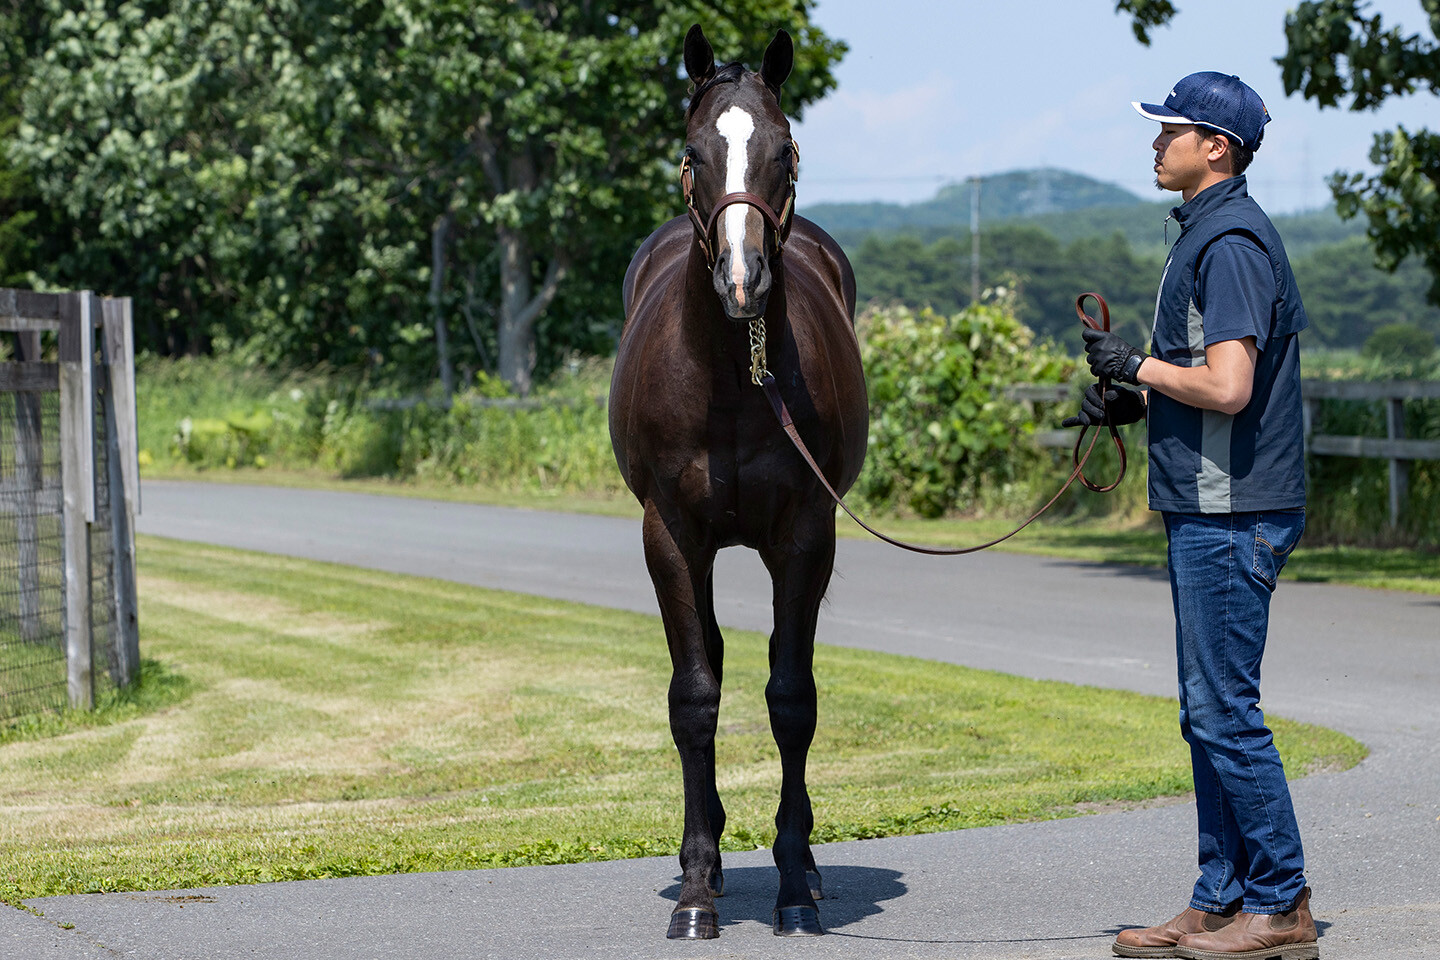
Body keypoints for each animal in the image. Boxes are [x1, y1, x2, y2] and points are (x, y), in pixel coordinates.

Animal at [607, 24, 864, 944]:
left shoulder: (806, 535)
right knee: (708, 663)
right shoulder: (671, 535)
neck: (731, 377)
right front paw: (695, 890)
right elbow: (694, 697)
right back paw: (713, 857)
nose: (741, 280)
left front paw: (793, 884)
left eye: (785, 151)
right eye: (693, 153)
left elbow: (792, 698)